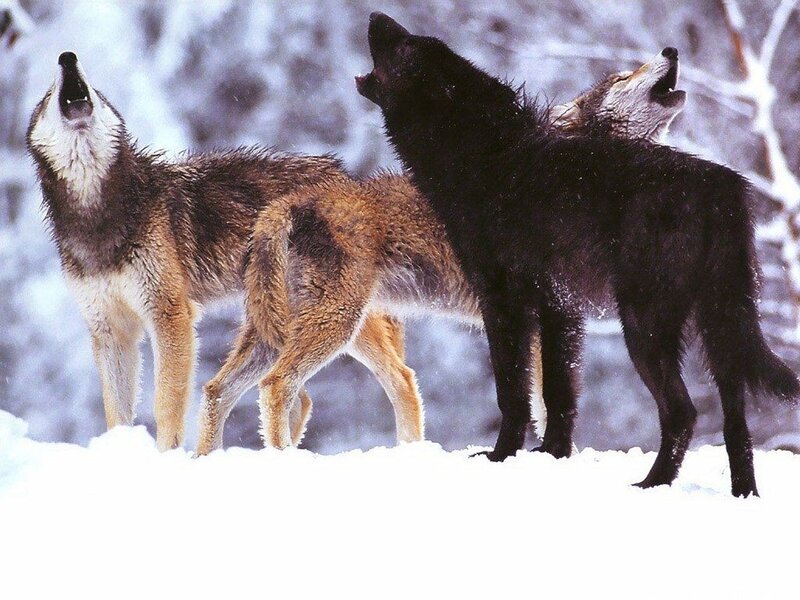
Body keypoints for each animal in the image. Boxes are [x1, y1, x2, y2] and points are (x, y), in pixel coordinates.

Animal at [26, 51, 367, 450]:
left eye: (96, 89)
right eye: (47, 95)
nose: (67, 57)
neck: (99, 216)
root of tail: (341, 171)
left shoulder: (170, 314)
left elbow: (166, 404)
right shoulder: (110, 329)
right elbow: (116, 413)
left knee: (398, 376)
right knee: (298, 397)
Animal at [197, 48, 688, 453]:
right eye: (624, 75)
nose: (670, 50)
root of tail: (289, 203)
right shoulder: (547, 316)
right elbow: (548, 402)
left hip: (282, 329)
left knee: (218, 389)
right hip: (336, 324)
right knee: (277, 385)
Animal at [354, 13, 799, 497]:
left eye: (406, 46)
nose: (375, 16)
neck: (482, 158)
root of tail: (722, 184)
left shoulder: (505, 303)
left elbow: (512, 392)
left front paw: (500, 456)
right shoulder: (558, 308)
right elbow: (558, 393)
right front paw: (551, 455)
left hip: (644, 325)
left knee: (683, 412)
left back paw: (651, 485)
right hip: (719, 326)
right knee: (737, 422)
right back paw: (742, 496)